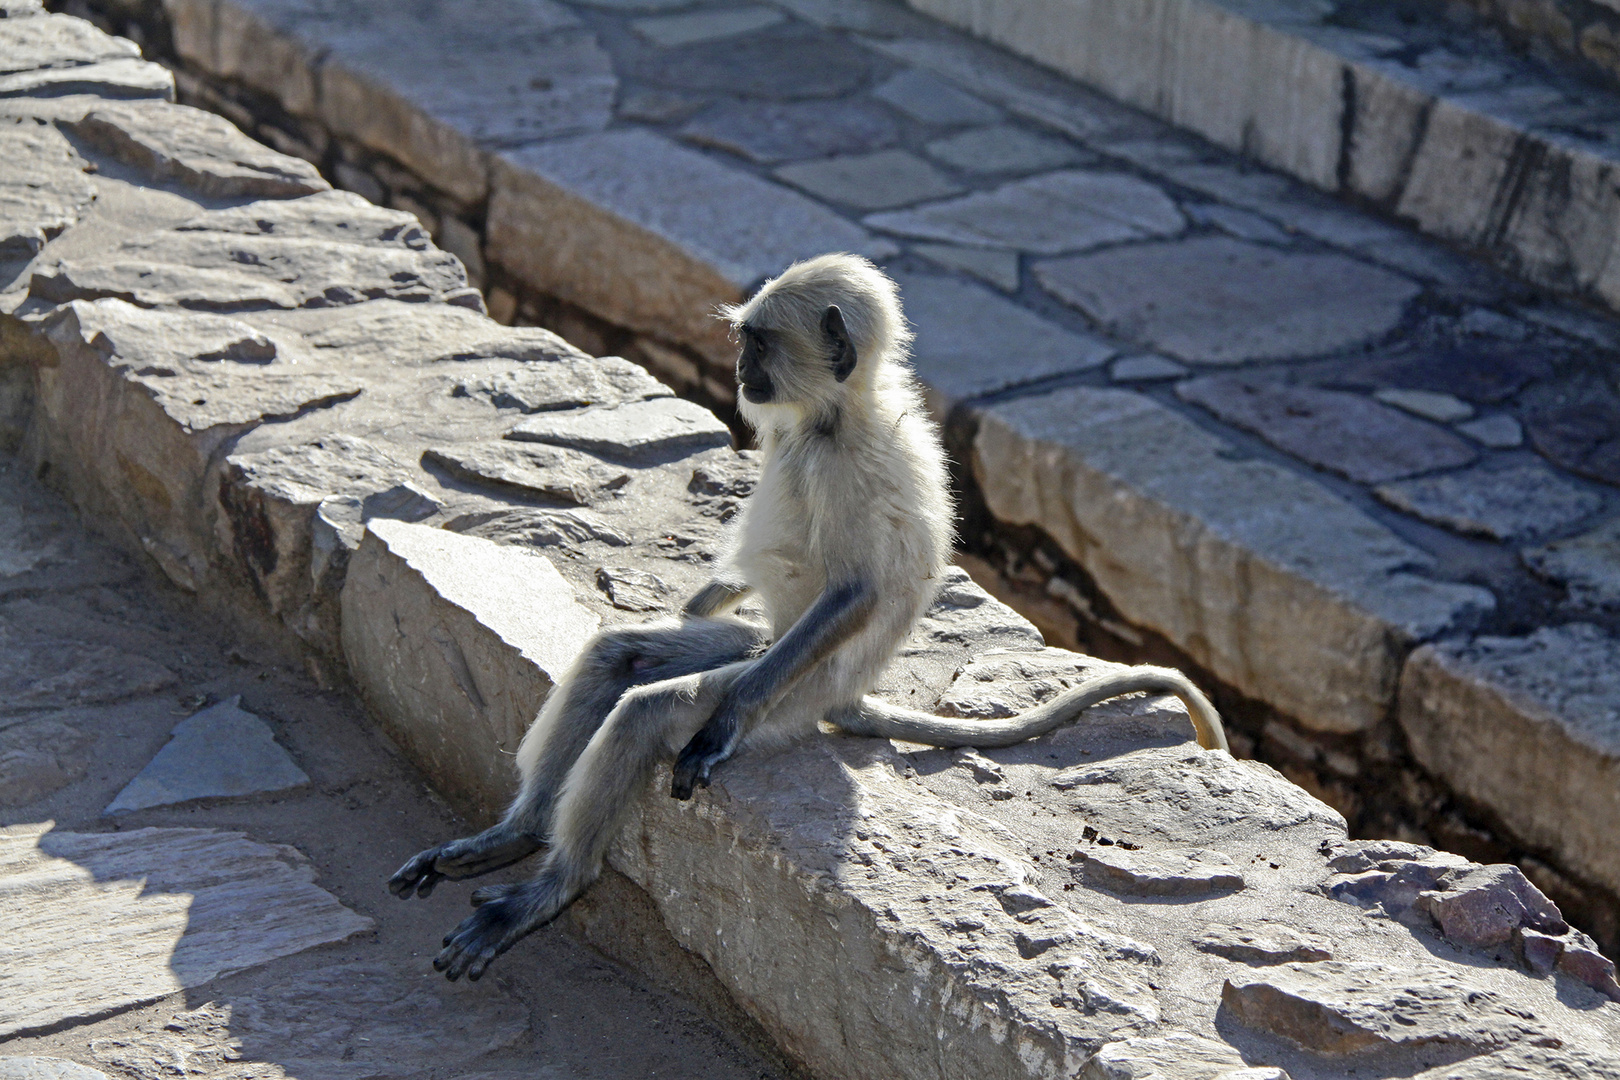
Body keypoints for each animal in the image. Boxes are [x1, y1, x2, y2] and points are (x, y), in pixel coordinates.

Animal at [392, 250, 1224, 977]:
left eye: (757, 345)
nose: (739, 373)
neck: (832, 417)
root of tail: (847, 694)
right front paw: (692, 596)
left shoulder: (846, 466)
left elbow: (854, 592)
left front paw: (720, 726)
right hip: (766, 650)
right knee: (619, 656)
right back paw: (516, 833)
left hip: (793, 693)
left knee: (649, 707)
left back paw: (552, 885)